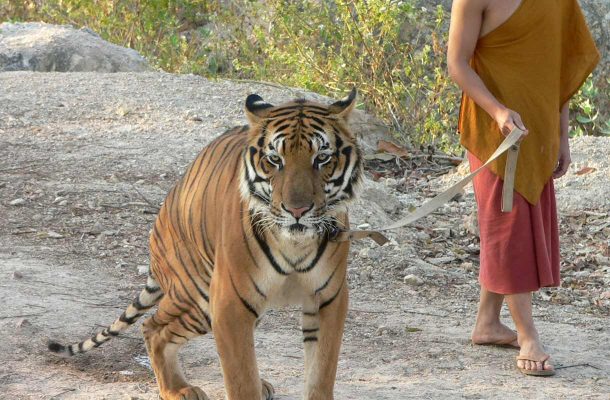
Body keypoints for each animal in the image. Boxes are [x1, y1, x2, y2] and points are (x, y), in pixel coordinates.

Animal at [50, 88, 360, 400]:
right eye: (274, 159)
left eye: (322, 157)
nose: (297, 210)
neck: (294, 244)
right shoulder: (230, 303)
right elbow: (241, 377)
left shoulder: (328, 299)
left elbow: (321, 372)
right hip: (198, 296)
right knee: (152, 327)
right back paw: (177, 389)